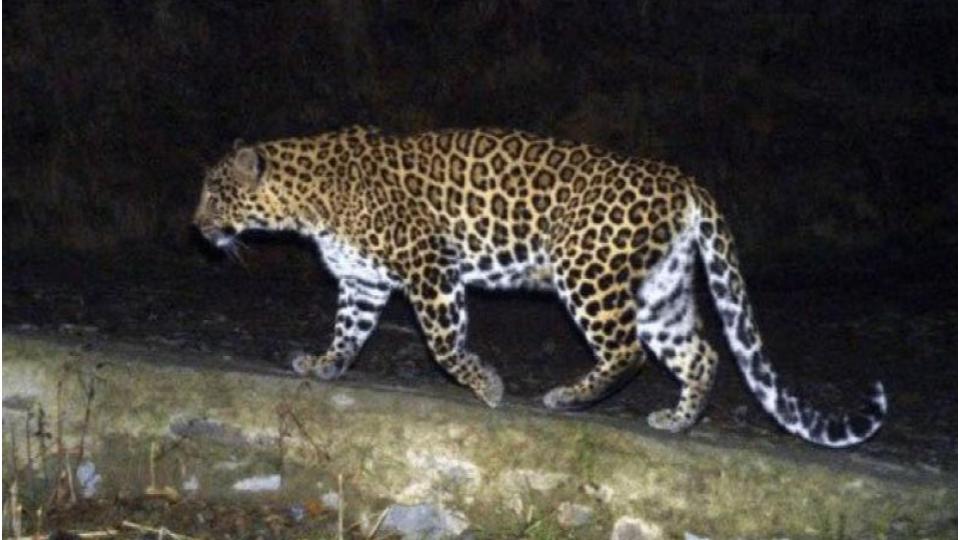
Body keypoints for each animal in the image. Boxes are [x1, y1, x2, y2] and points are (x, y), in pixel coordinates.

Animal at [193, 125, 887, 448]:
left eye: (214, 194)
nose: (196, 227)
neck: (306, 200)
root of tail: (682, 179)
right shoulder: (363, 282)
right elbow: (347, 333)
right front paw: (323, 366)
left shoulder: (429, 264)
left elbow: (443, 342)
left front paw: (486, 386)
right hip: (660, 289)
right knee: (702, 353)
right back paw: (676, 421)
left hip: (587, 270)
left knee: (628, 351)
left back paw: (568, 398)